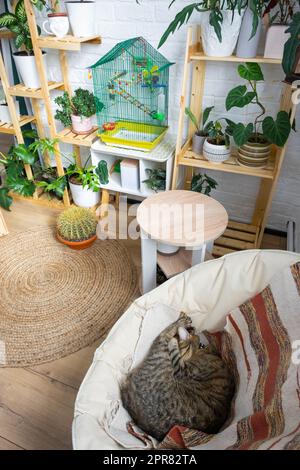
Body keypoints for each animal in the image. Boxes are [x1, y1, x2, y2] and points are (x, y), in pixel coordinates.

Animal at [120, 312, 236, 440]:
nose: (192, 328)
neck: (204, 352)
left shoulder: (183, 369)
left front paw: (179, 331)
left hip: (161, 352)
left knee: (164, 334)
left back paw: (181, 321)